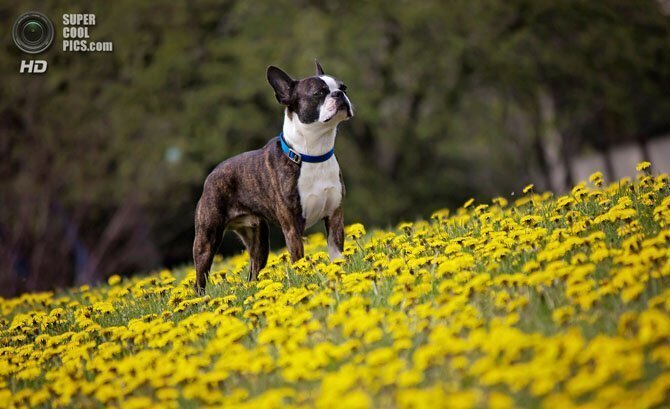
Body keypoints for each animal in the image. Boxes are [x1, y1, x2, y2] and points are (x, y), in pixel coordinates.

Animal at [193, 60, 354, 292]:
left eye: (344, 87)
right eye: (319, 93)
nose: (339, 94)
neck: (313, 154)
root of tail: (211, 175)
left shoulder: (334, 215)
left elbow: (336, 253)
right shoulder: (292, 227)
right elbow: (298, 259)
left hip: (258, 240)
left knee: (253, 273)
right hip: (206, 239)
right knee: (200, 277)